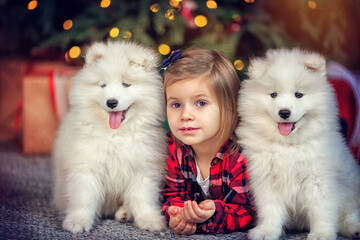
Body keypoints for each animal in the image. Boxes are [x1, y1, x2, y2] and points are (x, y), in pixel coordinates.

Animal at [52, 40, 167, 232]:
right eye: (103, 85)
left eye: (126, 84)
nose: (111, 102)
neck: (116, 135)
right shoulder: (86, 166)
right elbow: (84, 197)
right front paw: (78, 221)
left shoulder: (142, 167)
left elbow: (142, 197)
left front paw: (150, 220)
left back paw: (125, 213)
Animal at [236, 47, 360, 239]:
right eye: (273, 95)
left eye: (298, 95)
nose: (284, 112)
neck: (288, 145)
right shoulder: (267, 181)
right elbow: (270, 210)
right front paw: (267, 231)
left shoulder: (318, 180)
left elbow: (321, 210)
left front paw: (321, 234)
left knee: (349, 214)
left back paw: (354, 228)